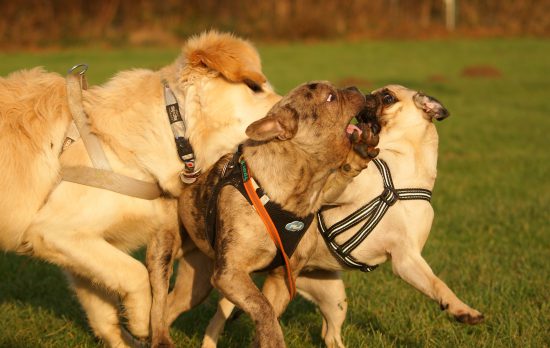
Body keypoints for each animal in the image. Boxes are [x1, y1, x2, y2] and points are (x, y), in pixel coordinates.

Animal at [0, 31, 282, 346]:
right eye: (254, 87)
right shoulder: (53, 229)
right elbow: (136, 275)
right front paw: (141, 322)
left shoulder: (79, 244)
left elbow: (104, 313)